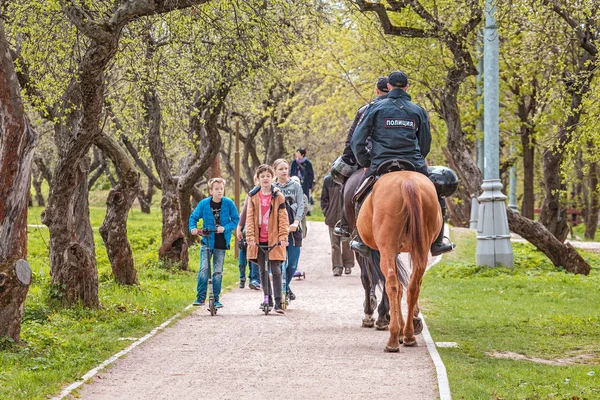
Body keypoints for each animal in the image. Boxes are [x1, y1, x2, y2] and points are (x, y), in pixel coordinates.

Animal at [356, 170, 440, 352]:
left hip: (386, 249)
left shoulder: (381, 252)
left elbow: (379, 283)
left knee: (392, 284)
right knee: (413, 286)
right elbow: (403, 287)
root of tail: (408, 182)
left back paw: (393, 339)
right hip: (421, 249)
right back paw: (408, 335)